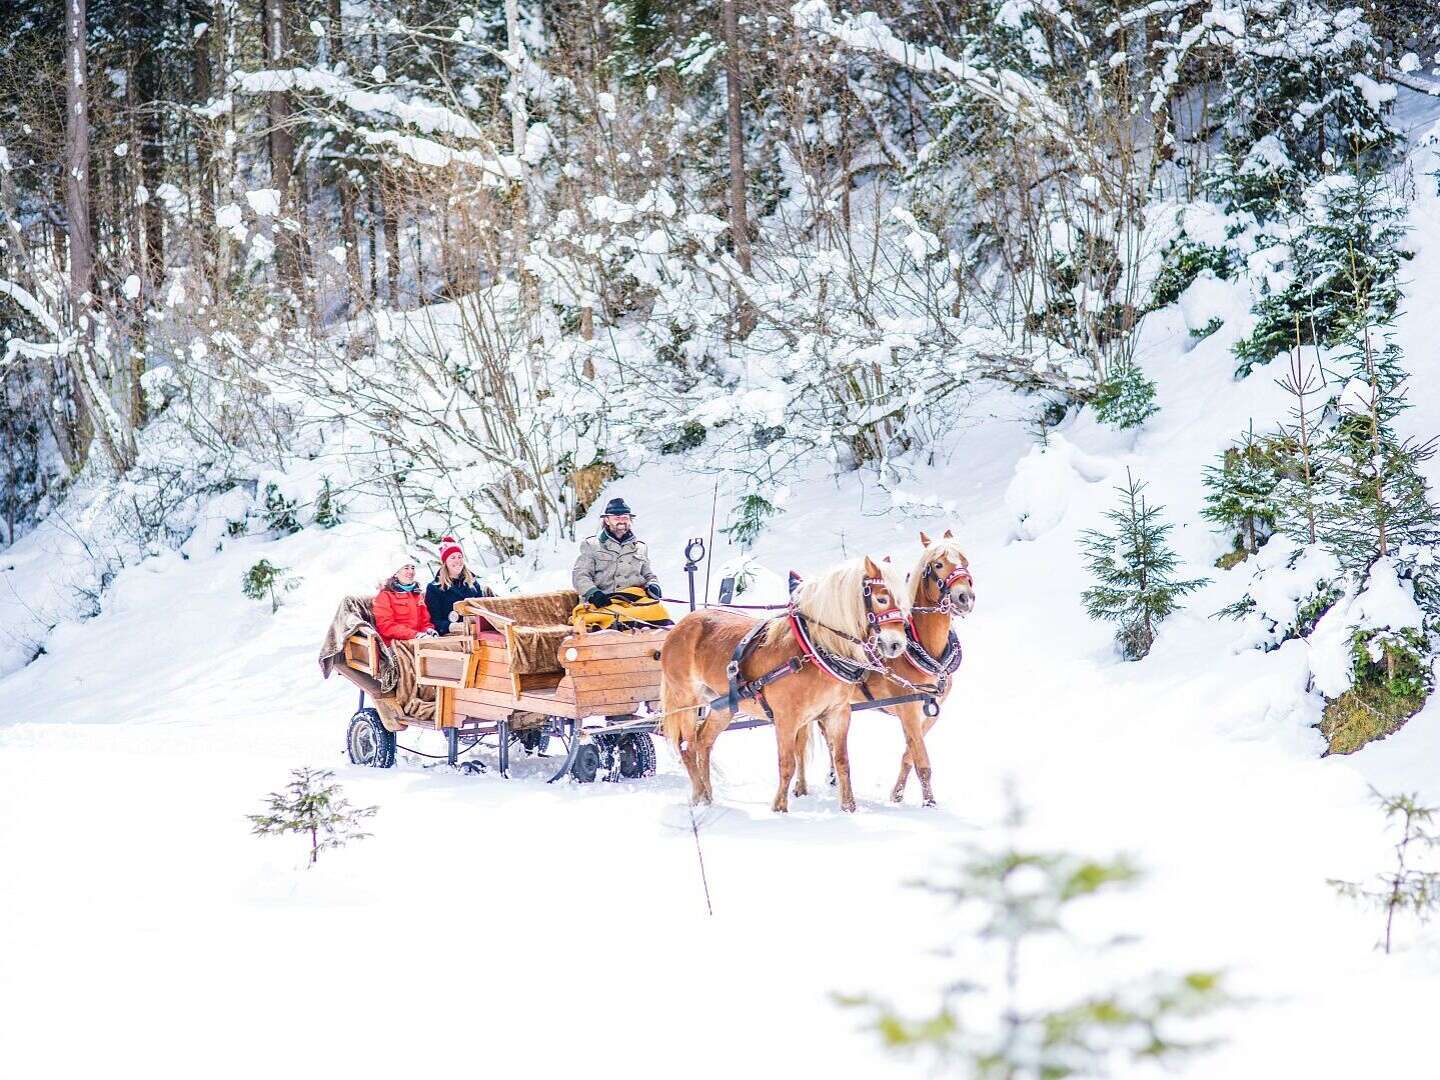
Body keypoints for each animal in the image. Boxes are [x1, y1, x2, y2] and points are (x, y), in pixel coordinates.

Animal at [659, 558, 904, 812]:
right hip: (686, 699)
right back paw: (698, 794)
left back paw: (708, 795)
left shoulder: (838, 713)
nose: (897, 644)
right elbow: (787, 763)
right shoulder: (786, 718)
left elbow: (842, 761)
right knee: (687, 746)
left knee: (703, 742)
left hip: (723, 705)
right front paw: (780, 808)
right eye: (882, 598)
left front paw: (849, 808)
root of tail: (682, 624)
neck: (813, 651)